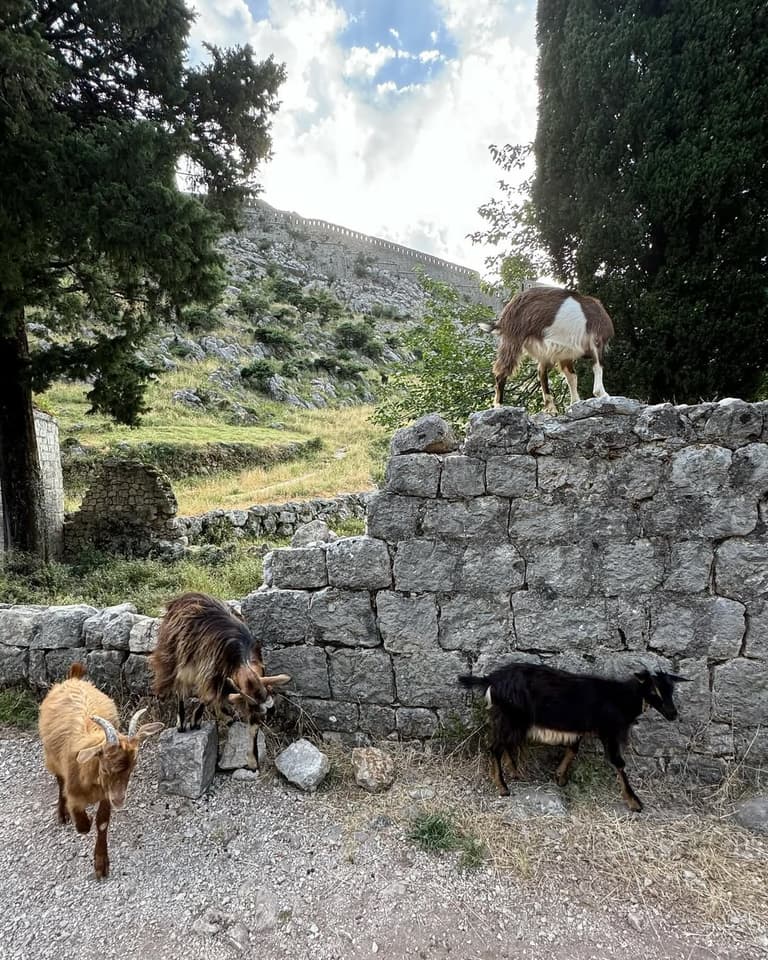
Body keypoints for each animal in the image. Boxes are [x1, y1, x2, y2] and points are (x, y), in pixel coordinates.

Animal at [38, 663, 164, 878]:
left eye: (133, 767)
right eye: (104, 768)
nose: (119, 800)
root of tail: (74, 678)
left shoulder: (106, 794)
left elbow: (102, 822)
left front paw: (101, 864)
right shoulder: (75, 794)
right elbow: (83, 825)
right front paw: (78, 819)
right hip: (51, 758)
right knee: (59, 781)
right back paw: (62, 814)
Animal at [150, 592, 291, 739]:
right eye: (251, 706)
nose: (271, 712)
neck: (243, 656)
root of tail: (184, 597)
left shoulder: (222, 675)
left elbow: (215, 695)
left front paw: (225, 715)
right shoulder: (210, 669)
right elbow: (207, 696)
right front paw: (195, 721)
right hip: (175, 654)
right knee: (179, 685)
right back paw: (181, 722)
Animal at [459, 662, 688, 811]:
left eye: (671, 690)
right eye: (654, 690)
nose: (672, 714)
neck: (619, 699)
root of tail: (490, 680)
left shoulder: (581, 728)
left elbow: (573, 748)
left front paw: (559, 777)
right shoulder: (609, 731)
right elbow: (618, 762)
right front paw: (634, 802)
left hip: (511, 719)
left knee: (504, 744)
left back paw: (515, 773)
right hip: (513, 718)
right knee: (495, 747)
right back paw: (503, 787)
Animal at [481, 286, 614, 413]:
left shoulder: (566, 353)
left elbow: (572, 376)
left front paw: (575, 402)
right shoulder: (596, 341)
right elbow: (597, 366)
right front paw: (602, 394)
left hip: (545, 350)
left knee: (541, 372)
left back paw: (551, 408)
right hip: (513, 339)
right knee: (502, 370)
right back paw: (498, 405)